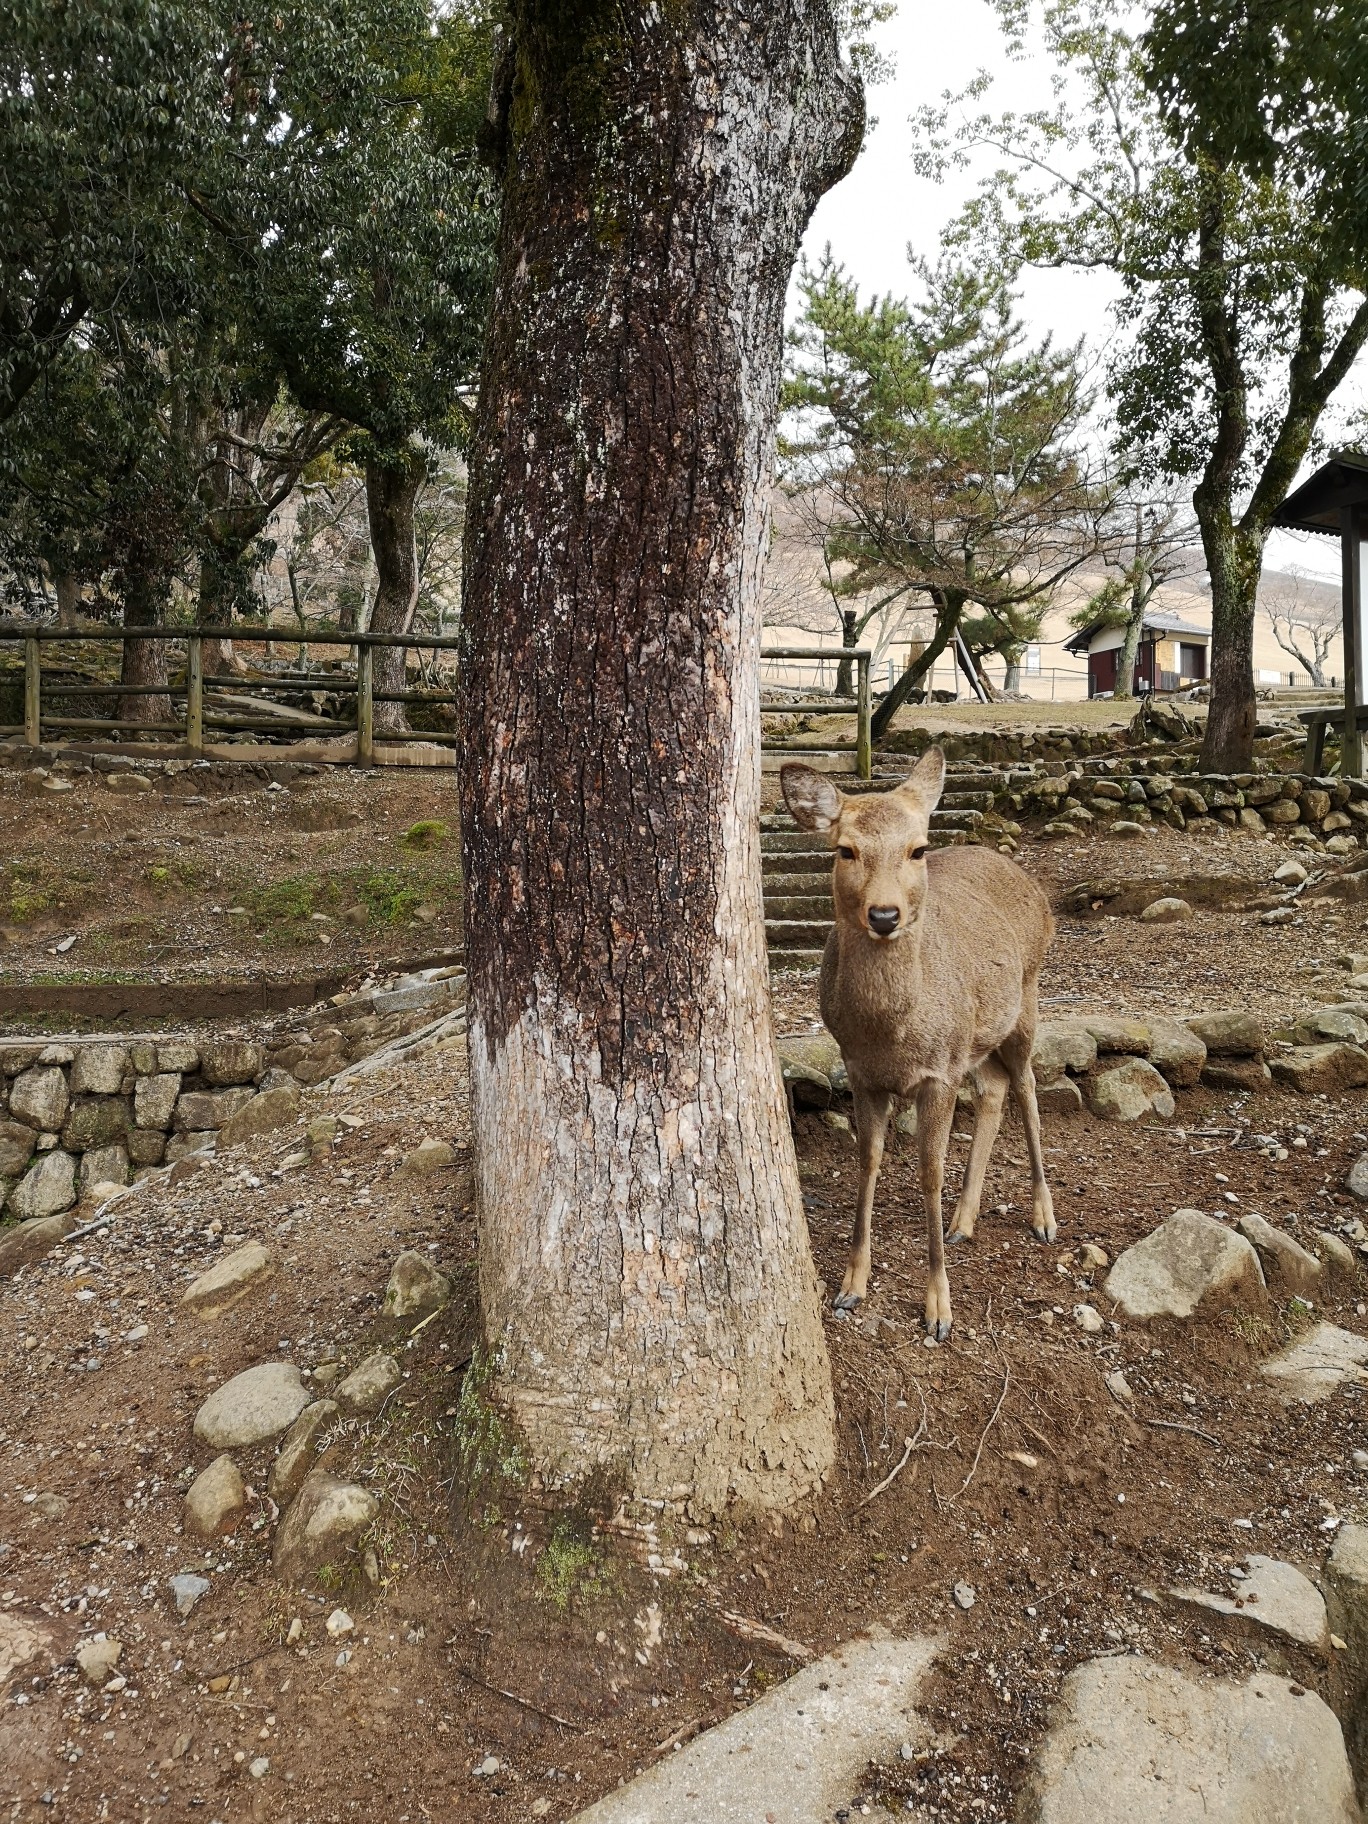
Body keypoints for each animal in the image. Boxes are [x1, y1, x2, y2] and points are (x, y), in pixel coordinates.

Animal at [780, 747, 1057, 1349]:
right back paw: (963, 1222)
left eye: (918, 848)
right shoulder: (861, 1072)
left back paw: (1044, 1217)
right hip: (977, 1040)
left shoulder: (938, 1073)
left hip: (1026, 998)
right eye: (845, 849)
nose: (885, 916)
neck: (893, 1035)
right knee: (994, 1090)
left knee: (1026, 1088)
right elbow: (868, 1163)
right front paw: (850, 1286)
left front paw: (938, 1310)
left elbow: (930, 1173)